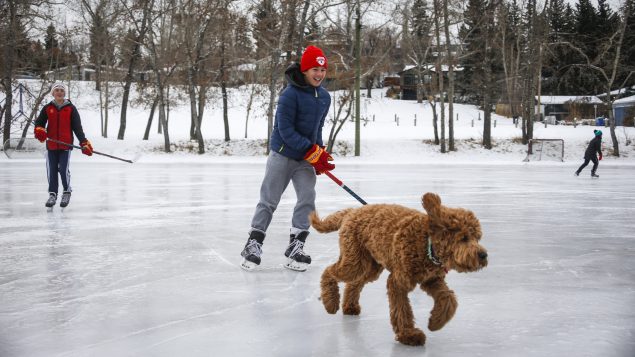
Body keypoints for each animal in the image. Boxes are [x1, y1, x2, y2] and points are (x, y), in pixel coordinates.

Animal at [310, 192, 490, 344]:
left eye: (477, 237)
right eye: (464, 238)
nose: (483, 255)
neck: (427, 243)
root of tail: (352, 211)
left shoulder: (431, 280)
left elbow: (449, 299)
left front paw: (435, 322)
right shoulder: (398, 281)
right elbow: (401, 309)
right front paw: (408, 334)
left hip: (370, 265)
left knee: (354, 283)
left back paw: (350, 306)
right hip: (355, 261)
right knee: (329, 272)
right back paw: (330, 303)